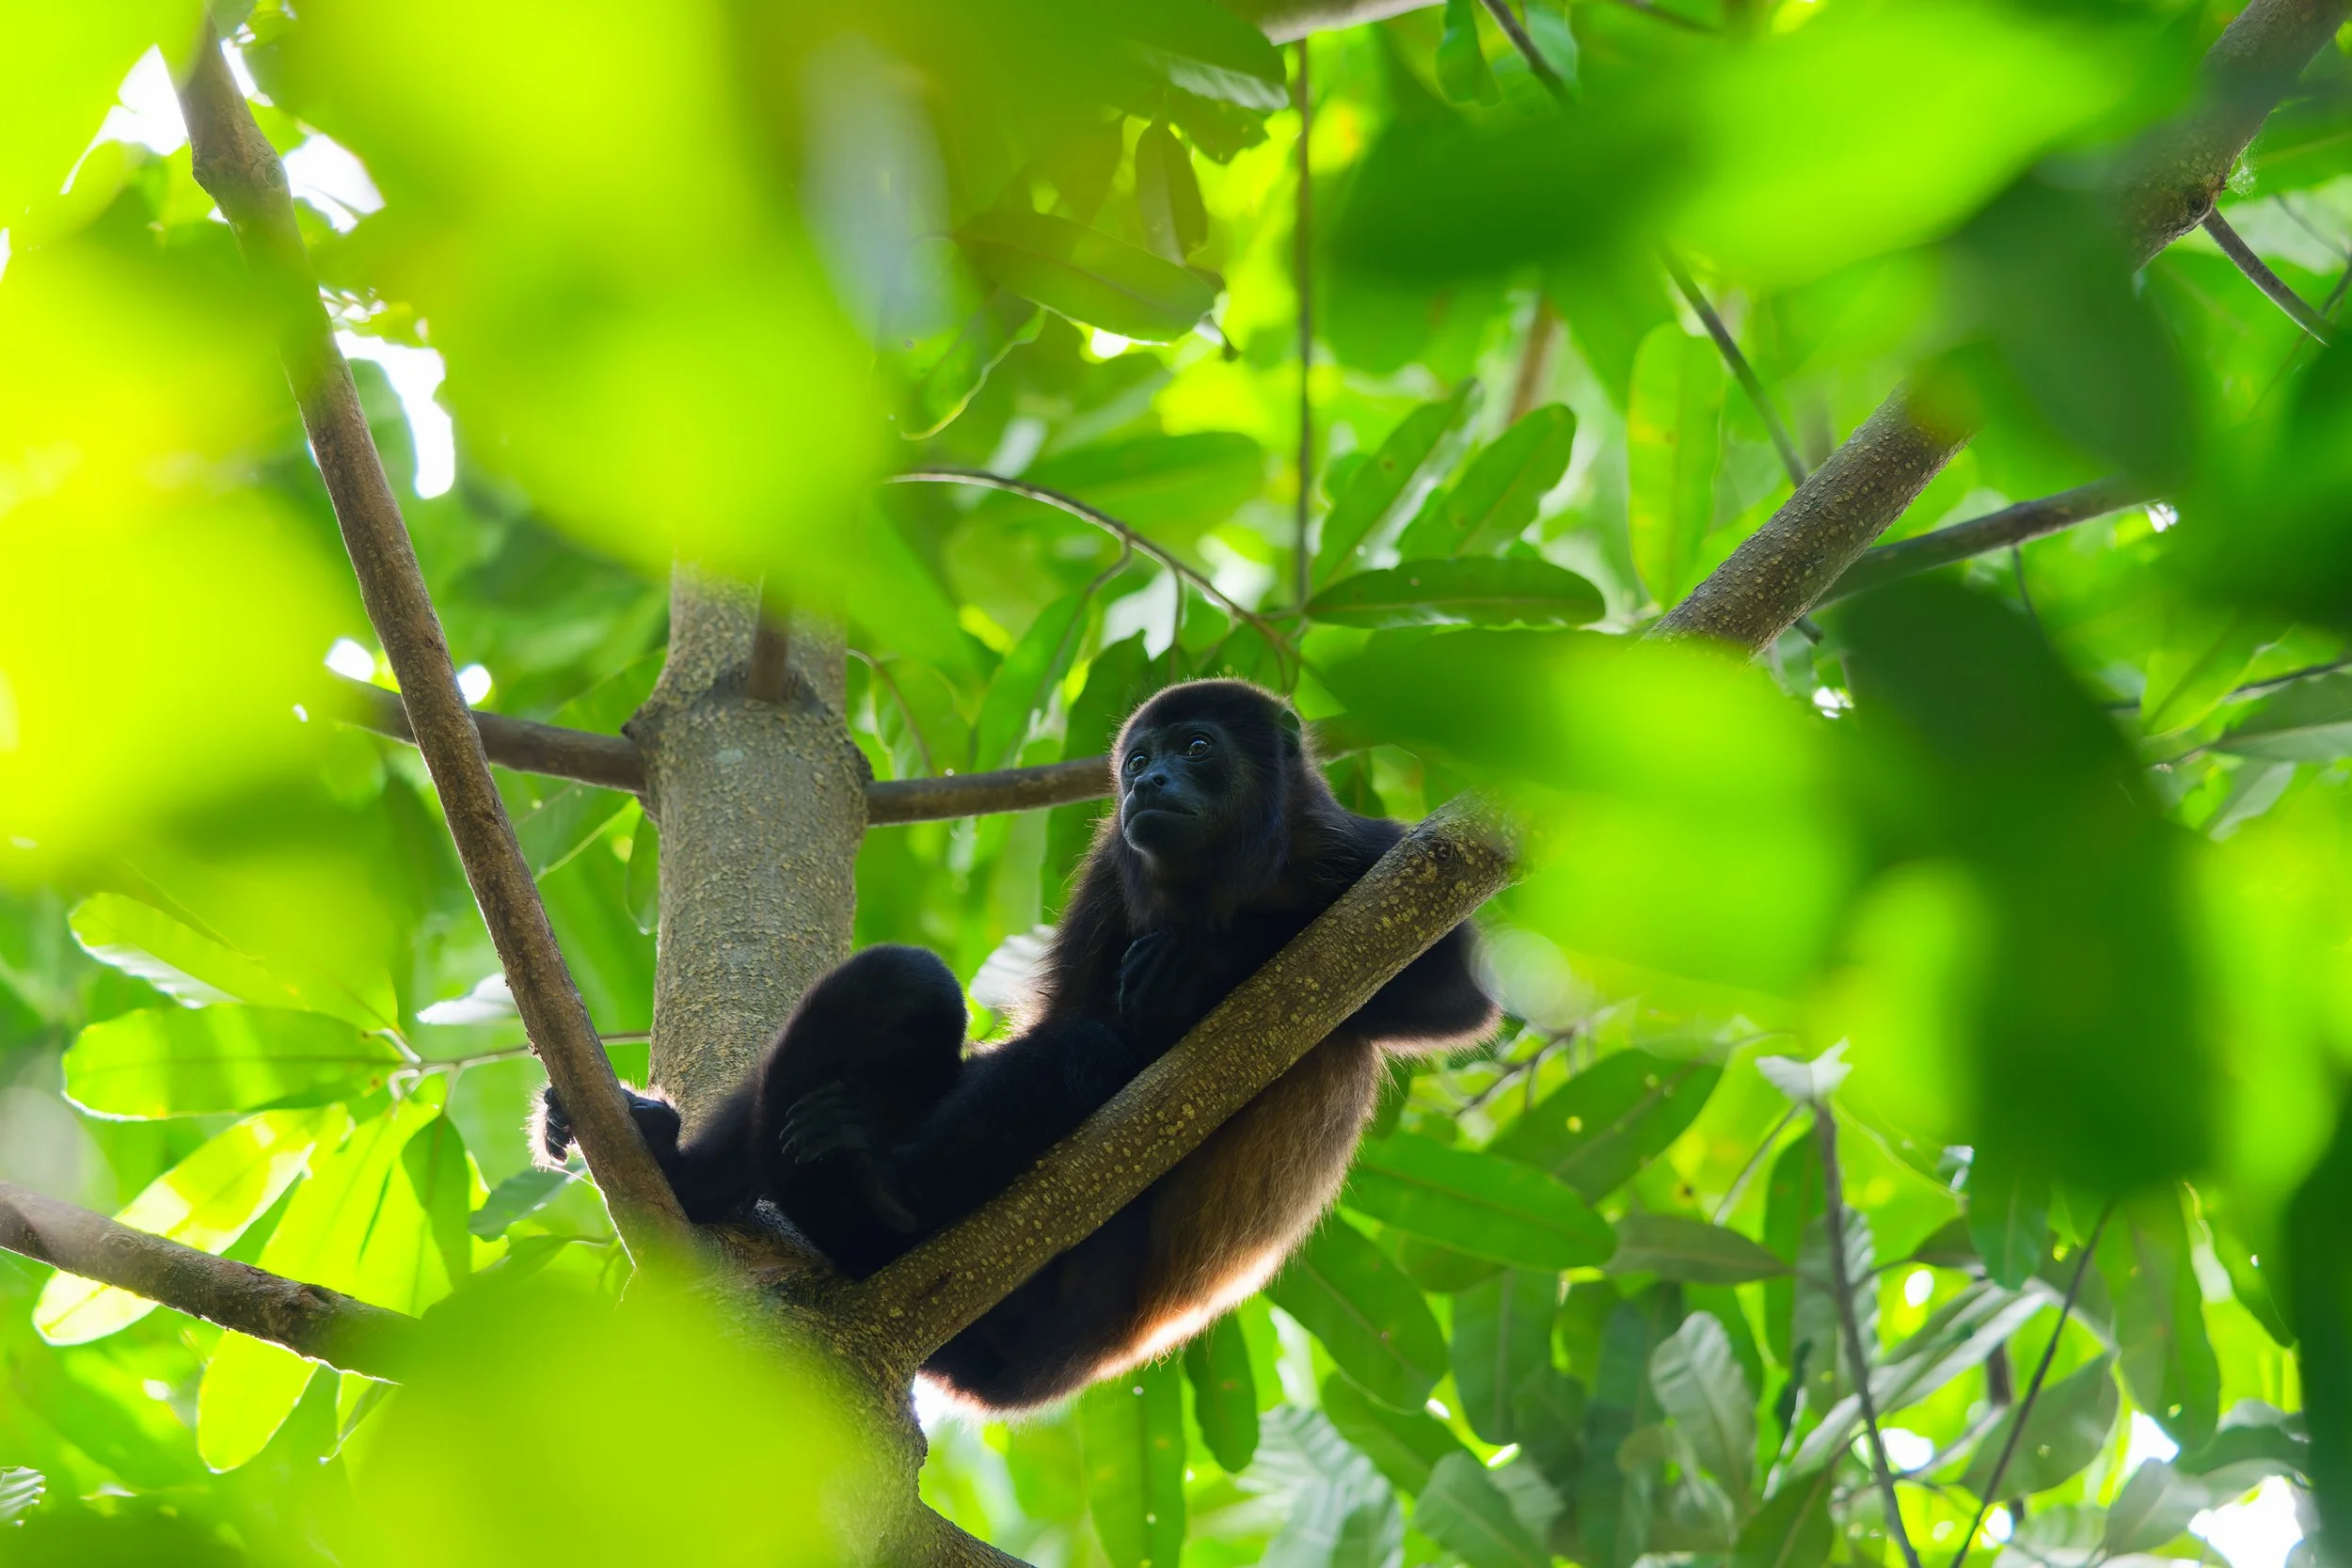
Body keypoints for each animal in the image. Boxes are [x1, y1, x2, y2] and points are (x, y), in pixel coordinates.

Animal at [540, 679, 1496, 1410]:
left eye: (1196, 747)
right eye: (1137, 760)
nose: (1147, 782)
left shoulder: (1346, 846)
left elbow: (1450, 987)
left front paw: (1200, 961)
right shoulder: (1112, 866)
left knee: (1081, 1055)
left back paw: (884, 1192)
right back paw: (679, 1169)